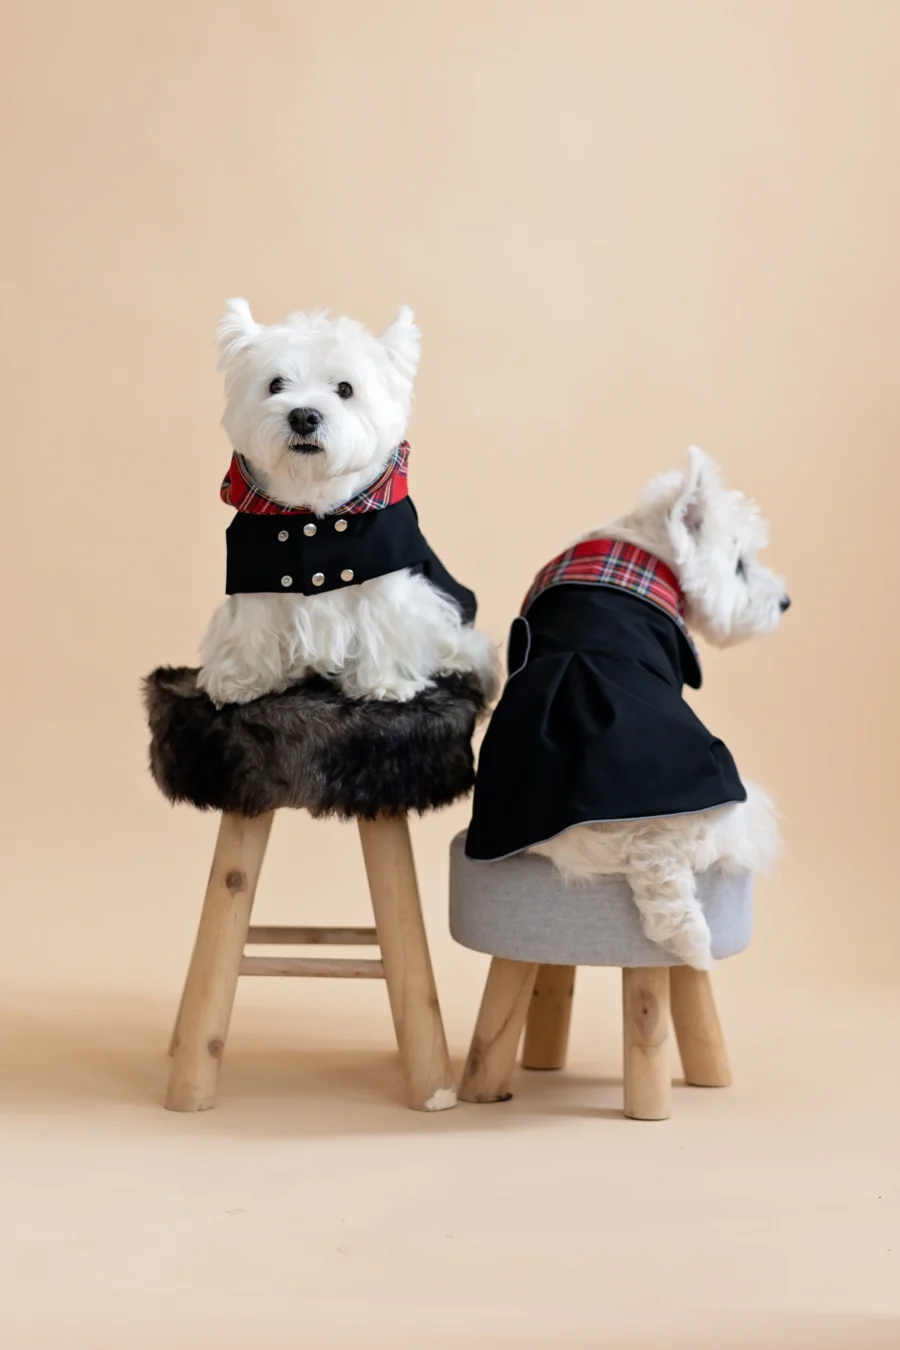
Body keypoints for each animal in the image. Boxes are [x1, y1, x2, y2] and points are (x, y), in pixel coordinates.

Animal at [195, 302, 499, 712]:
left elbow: (383, 629)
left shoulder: (386, 582)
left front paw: (384, 684)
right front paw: (241, 683)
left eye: (345, 388)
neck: (313, 509)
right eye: (275, 384)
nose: (303, 416)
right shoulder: (256, 577)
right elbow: (250, 629)